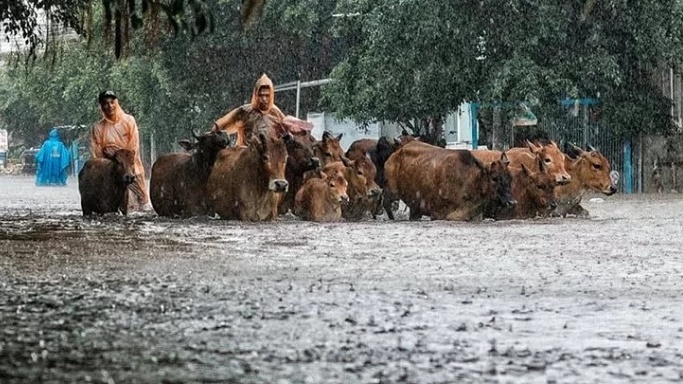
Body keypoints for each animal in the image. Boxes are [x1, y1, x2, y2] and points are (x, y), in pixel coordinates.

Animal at [384, 141, 512, 220]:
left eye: (509, 177)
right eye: (494, 178)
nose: (512, 202)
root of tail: (395, 154)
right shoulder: (439, 213)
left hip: (414, 206)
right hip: (392, 192)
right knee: (387, 204)